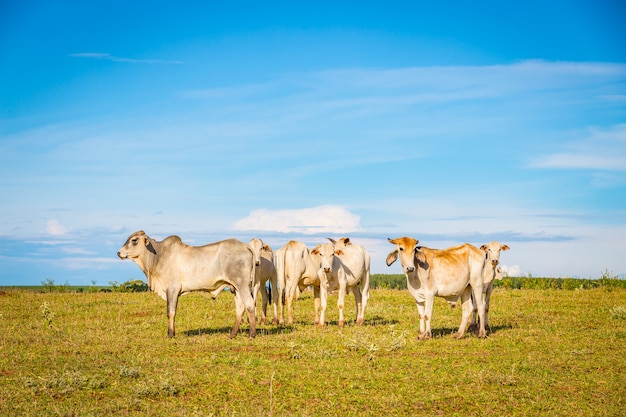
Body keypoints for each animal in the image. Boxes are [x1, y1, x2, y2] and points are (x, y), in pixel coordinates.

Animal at [117, 231, 256, 338]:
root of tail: (246, 246)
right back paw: (232, 334)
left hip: (242, 285)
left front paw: (170, 334)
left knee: (249, 304)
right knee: (240, 308)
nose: (119, 253)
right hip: (236, 287)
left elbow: (171, 311)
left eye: (134, 240)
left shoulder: (172, 289)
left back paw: (252, 334)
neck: (159, 256)